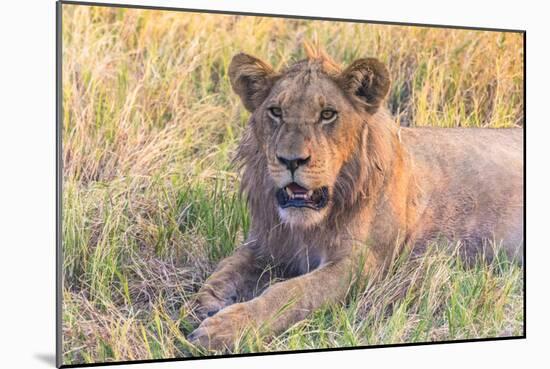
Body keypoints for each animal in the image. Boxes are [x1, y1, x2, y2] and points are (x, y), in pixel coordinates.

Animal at [187, 44, 528, 350]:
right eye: (276, 112)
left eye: (327, 114)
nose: (291, 161)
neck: (309, 225)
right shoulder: (264, 244)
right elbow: (225, 268)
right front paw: (201, 304)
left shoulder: (361, 264)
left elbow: (292, 292)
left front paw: (222, 329)